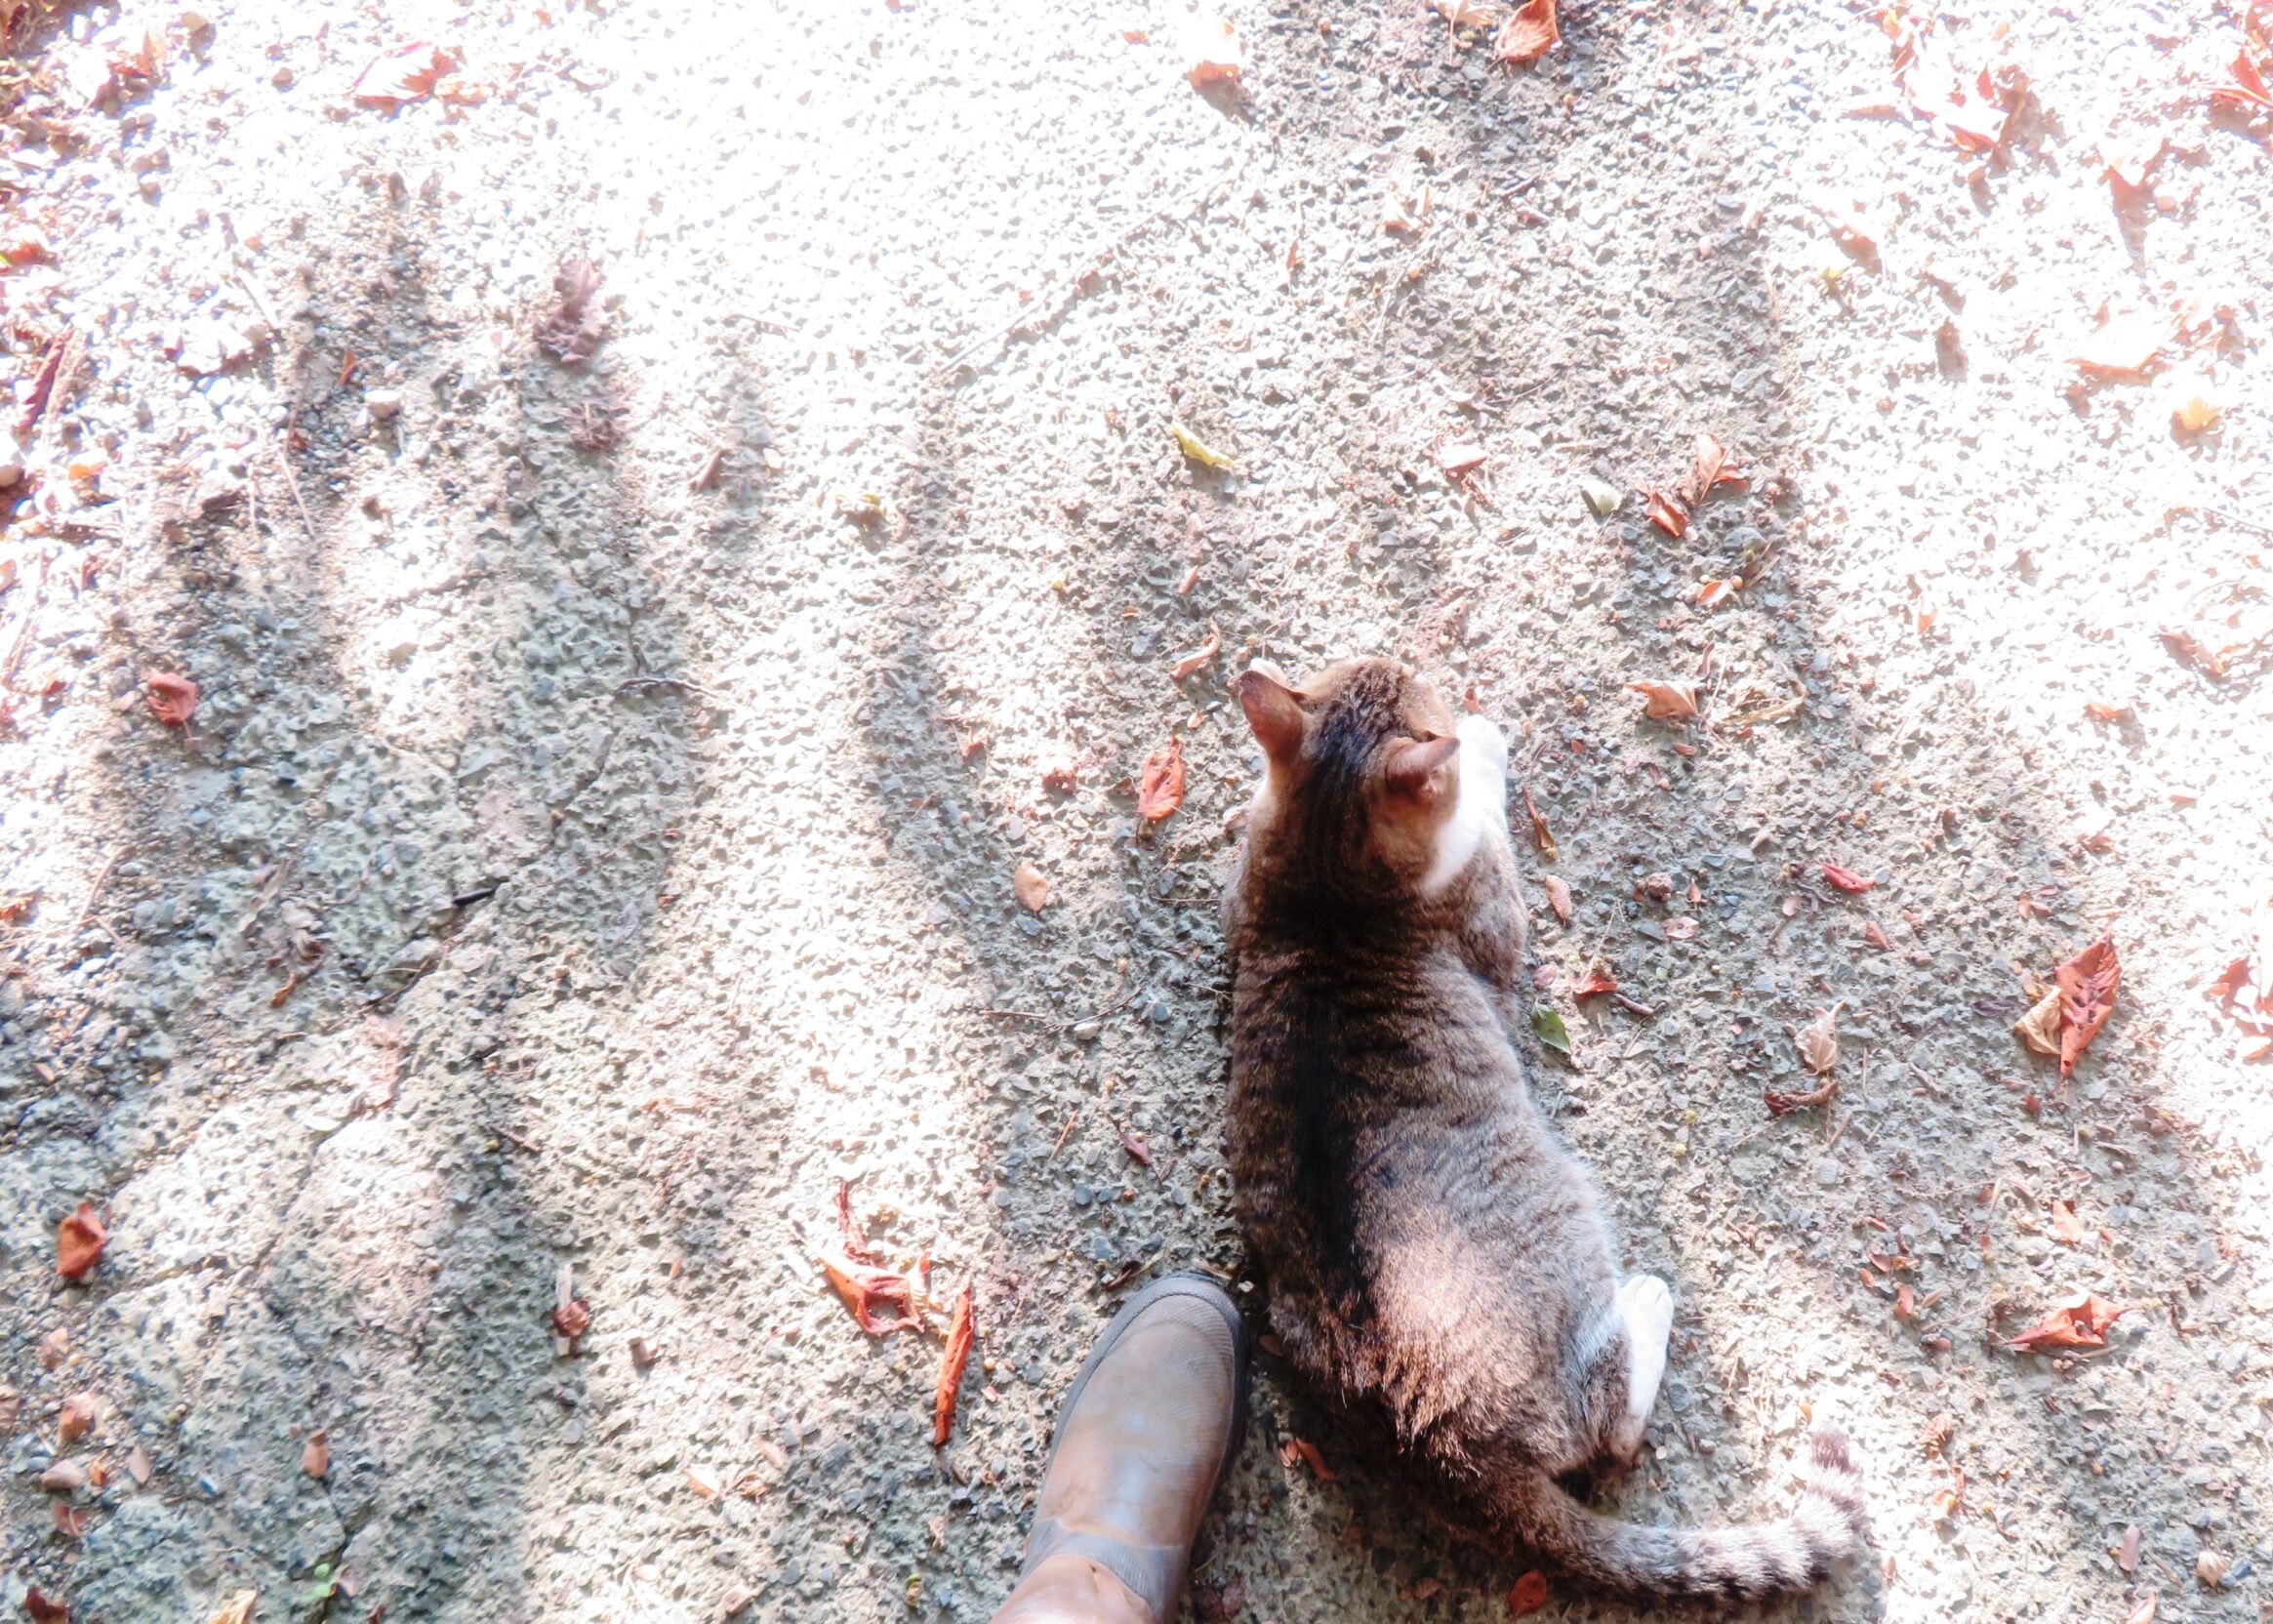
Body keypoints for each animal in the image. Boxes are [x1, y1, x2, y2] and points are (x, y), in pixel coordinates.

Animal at [1227, 659, 1863, 1592]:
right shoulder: (1493, 904)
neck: (1328, 894)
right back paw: (1647, 1302)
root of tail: (1443, 1447)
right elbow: (1485, 802)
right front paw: (1480, 740)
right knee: (1614, 1426)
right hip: (1570, 1236)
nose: (1410, 661)